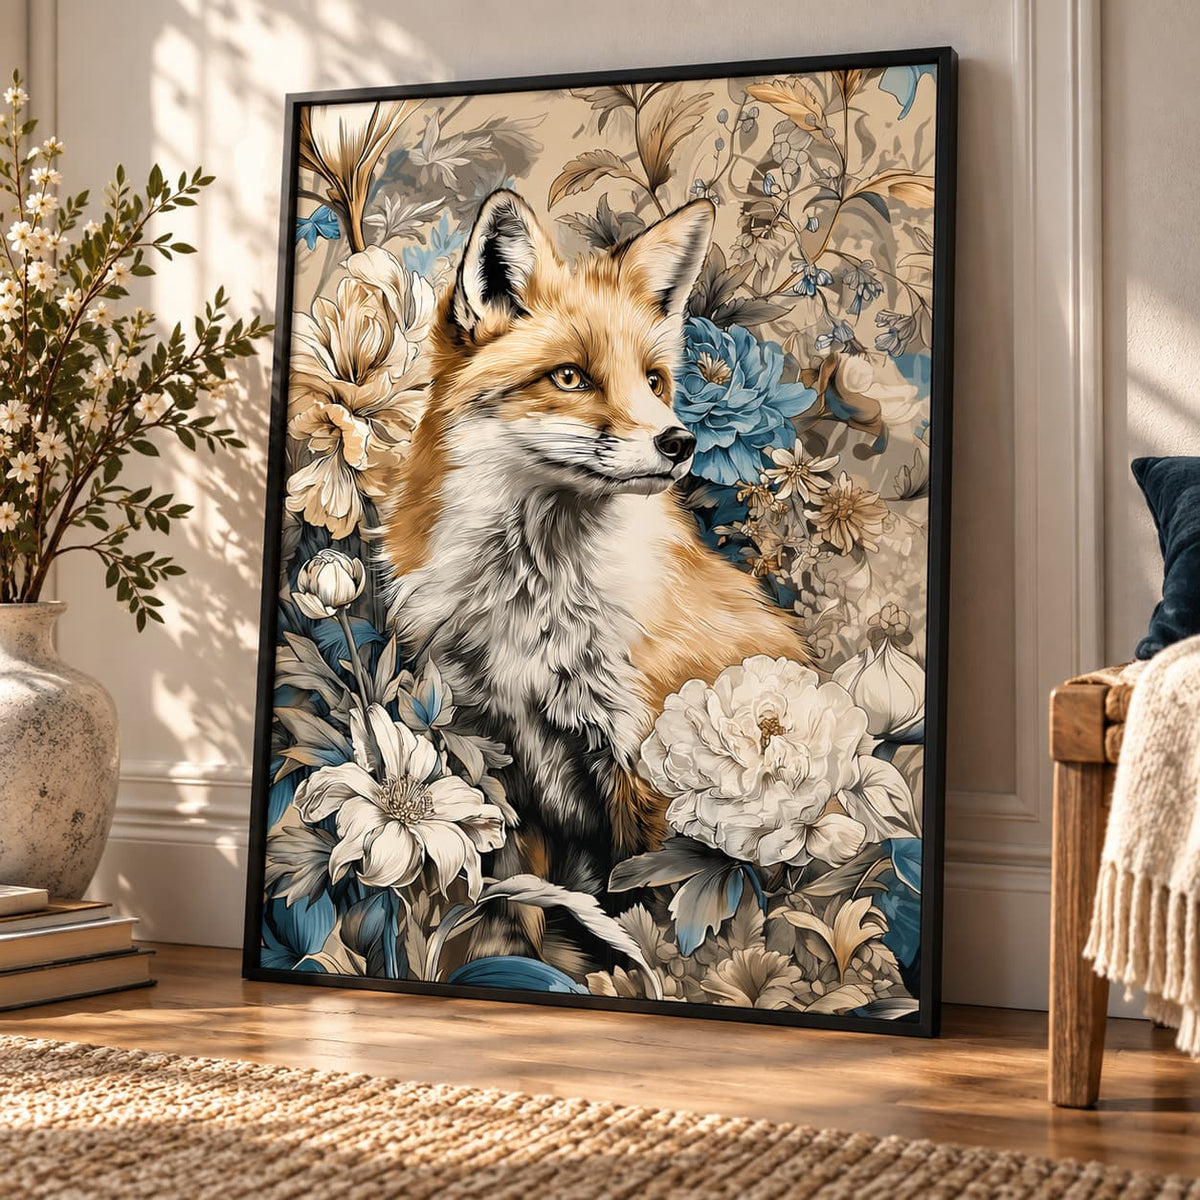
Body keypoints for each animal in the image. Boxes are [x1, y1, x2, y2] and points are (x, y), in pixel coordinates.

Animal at [377, 188, 805, 959]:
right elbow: (515, 911)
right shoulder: (489, 756)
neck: (533, 602)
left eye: (655, 381)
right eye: (571, 377)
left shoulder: (649, 770)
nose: (680, 441)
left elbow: (649, 919)